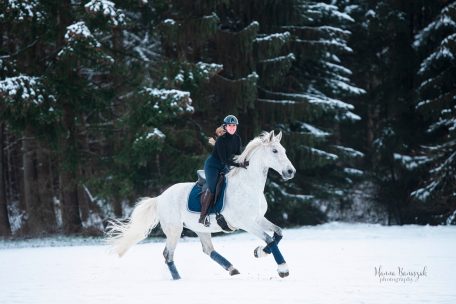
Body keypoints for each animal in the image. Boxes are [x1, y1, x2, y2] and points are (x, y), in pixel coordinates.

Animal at [106, 129, 296, 280]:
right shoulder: (246, 223)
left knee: (207, 250)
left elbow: (278, 233)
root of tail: (160, 198)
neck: (248, 185)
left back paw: (232, 269)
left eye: (285, 151)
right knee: (168, 254)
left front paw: (259, 252)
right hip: (174, 230)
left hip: (201, 229)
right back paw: (177, 278)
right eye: (274, 151)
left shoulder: (258, 219)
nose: (290, 172)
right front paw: (283, 269)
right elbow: (270, 239)